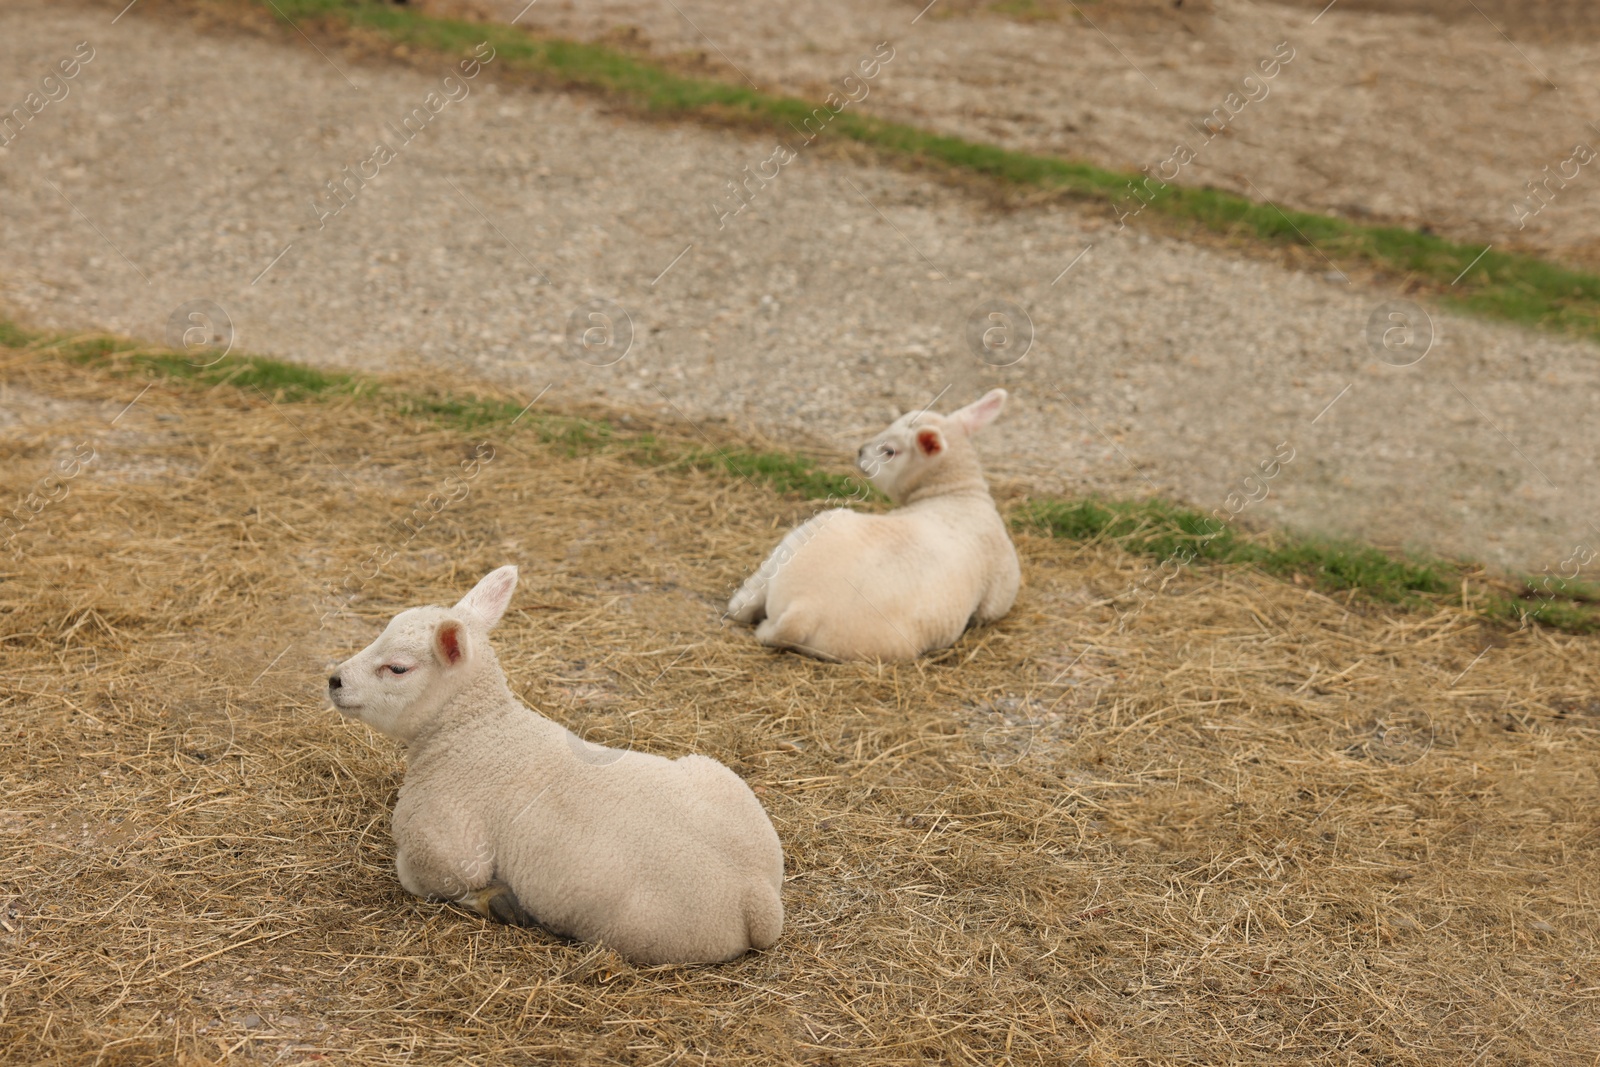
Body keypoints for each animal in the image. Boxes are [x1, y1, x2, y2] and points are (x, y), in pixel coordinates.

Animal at [323, 566, 780, 966]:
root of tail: (759, 900)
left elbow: (421, 877)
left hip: (640, 934)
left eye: (397, 668)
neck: (475, 731)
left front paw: (499, 901)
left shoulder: (442, 849)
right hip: (716, 774)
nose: (334, 680)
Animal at [729, 388, 1017, 662]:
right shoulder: (996, 601)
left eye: (889, 451)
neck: (958, 493)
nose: (860, 451)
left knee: (748, 603)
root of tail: (803, 609)